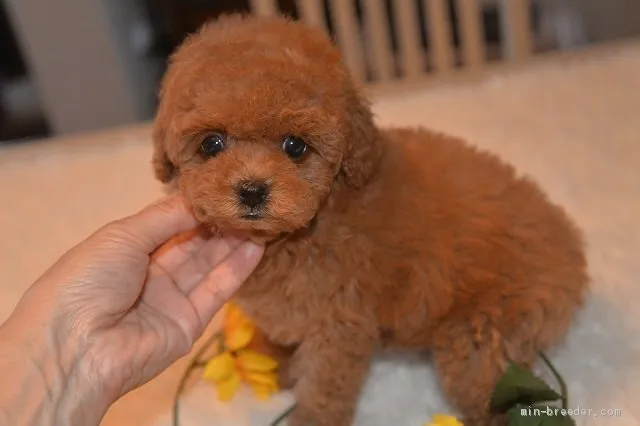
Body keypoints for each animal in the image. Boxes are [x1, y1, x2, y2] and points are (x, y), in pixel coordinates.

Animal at [151, 13, 592, 426]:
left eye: (295, 146)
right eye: (212, 144)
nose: (252, 189)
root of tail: (571, 246)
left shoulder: (339, 323)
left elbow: (325, 383)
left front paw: (309, 416)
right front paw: (272, 357)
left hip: (484, 334)